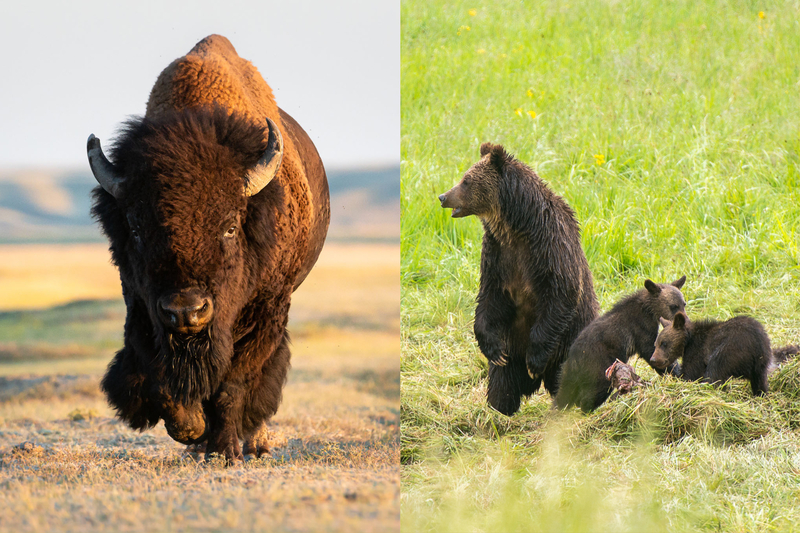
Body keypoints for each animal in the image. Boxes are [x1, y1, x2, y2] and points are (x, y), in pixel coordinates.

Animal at [90, 34, 332, 462]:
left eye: (230, 226)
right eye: (135, 228)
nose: (187, 311)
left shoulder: (267, 311)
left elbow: (234, 383)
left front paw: (223, 450)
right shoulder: (141, 306)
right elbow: (158, 373)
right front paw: (192, 431)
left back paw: (254, 442)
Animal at [438, 142, 600, 416]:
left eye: (466, 180)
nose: (443, 197)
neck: (516, 225)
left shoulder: (550, 246)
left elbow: (561, 293)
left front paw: (534, 360)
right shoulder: (497, 255)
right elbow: (489, 298)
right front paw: (493, 350)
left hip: (571, 344)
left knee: (569, 380)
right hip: (513, 353)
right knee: (502, 384)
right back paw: (498, 411)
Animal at [556, 276, 688, 410]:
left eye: (684, 304)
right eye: (673, 306)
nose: (685, 319)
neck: (649, 311)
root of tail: (574, 357)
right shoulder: (641, 329)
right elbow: (651, 350)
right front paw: (676, 372)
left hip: (569, 373)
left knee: (563, 394)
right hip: (599, 364)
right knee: (594, 392)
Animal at [648, 312, 800, 394]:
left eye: (664, 343)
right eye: (656, 343)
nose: (653, 359)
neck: (688, 341)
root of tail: (757, 344)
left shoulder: (697, 352)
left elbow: (691, 374)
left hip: (729, 350)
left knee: (715, 371)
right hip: (762, 363)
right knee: (760, 381)